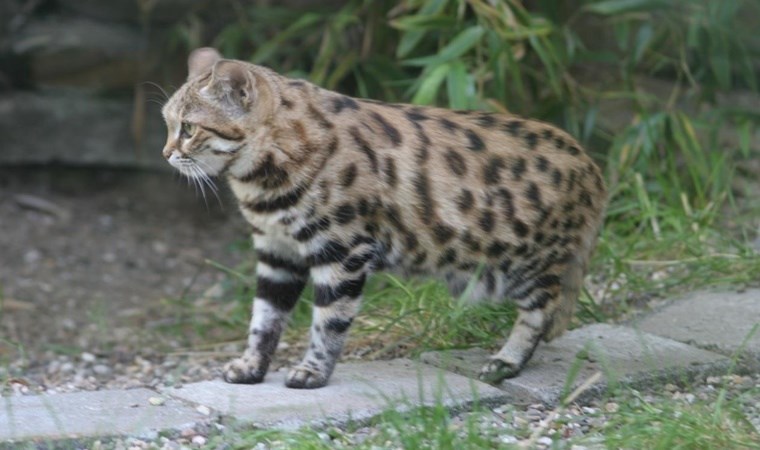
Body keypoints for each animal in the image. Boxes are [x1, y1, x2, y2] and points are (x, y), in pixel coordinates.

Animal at [160, 47, 604, 388]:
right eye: (167, 123)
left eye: (189, 128)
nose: (165, 154)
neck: (261, 177)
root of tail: (592, 168)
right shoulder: (276, 251)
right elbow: (264, 319)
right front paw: (252, 366)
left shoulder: (342, 250)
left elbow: (329, 321)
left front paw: (313, 372)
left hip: (524, 266)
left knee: (542, 310)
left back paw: (506, 361)